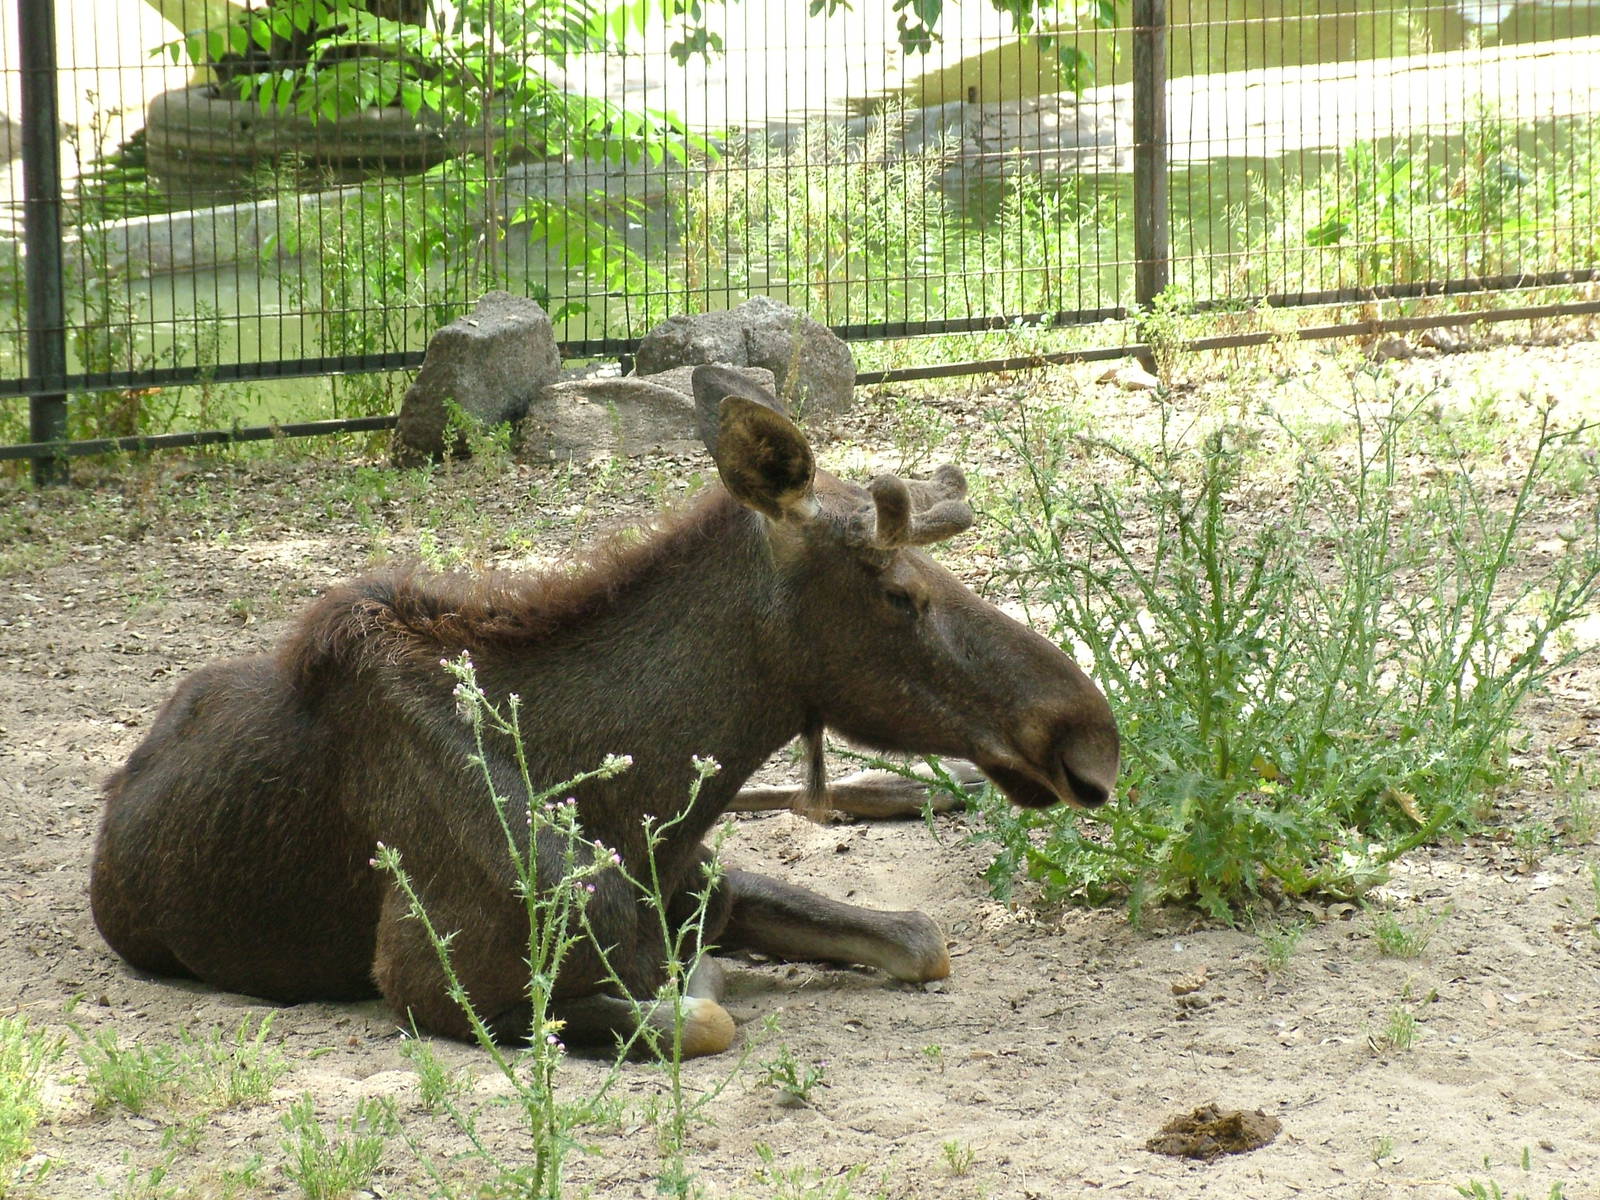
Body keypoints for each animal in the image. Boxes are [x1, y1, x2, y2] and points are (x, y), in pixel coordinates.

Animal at [89, 364, 1119, 1057]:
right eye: (900, 594)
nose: (1092, 737)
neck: (632, 807)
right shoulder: (434, 986)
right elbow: (704, 1014)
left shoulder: (710, 874)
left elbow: (922, 938)